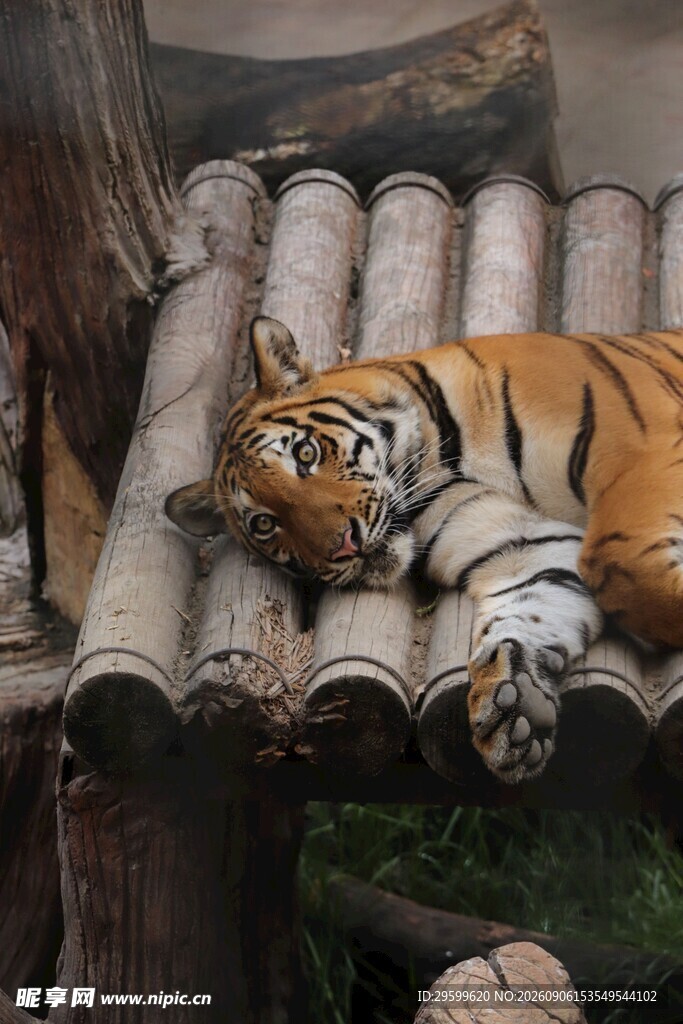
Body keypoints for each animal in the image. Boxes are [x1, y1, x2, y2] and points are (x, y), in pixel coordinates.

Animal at [166, 316, 683, 784]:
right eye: (265, 524)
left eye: (305, 453)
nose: (344, 546)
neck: (441, 461)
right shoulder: (524, 545)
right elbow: (526, 608)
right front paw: (513, 704)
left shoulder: (645, 454)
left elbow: (618, 566)